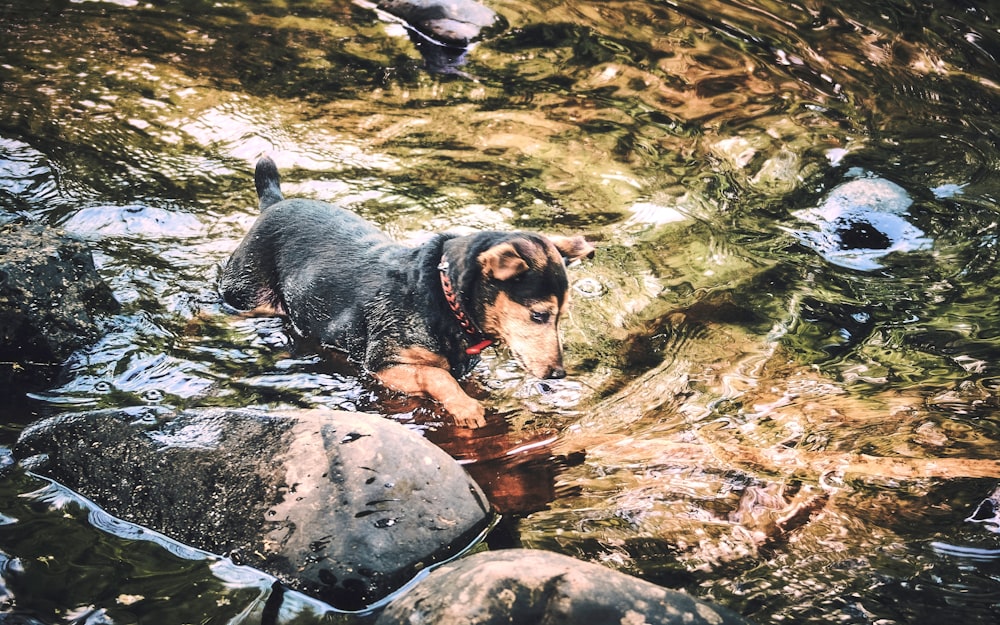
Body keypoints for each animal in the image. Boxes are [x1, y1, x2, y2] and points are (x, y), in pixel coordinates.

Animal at [221, 158, 592, 426]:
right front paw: (466, 407)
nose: (558, 374)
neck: (443, 298)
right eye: (539, 315)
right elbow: (438, 376)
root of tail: (273, 202)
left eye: (561, 317)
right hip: (246, 292)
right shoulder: (383, 364)